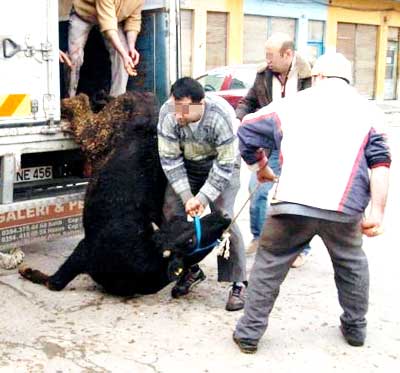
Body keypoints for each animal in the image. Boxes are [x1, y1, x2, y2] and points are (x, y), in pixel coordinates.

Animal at [19, 91, 231, 294]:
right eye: (190, 239)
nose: (224, 217)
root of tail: (149, 101)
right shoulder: (84, 250)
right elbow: (54, 282)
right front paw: (27, 271)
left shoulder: (85, 251)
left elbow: (54, 283)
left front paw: (27, 271)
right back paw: (77, 100)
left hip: (99, 132)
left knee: (84, 118)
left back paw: (78, 100)